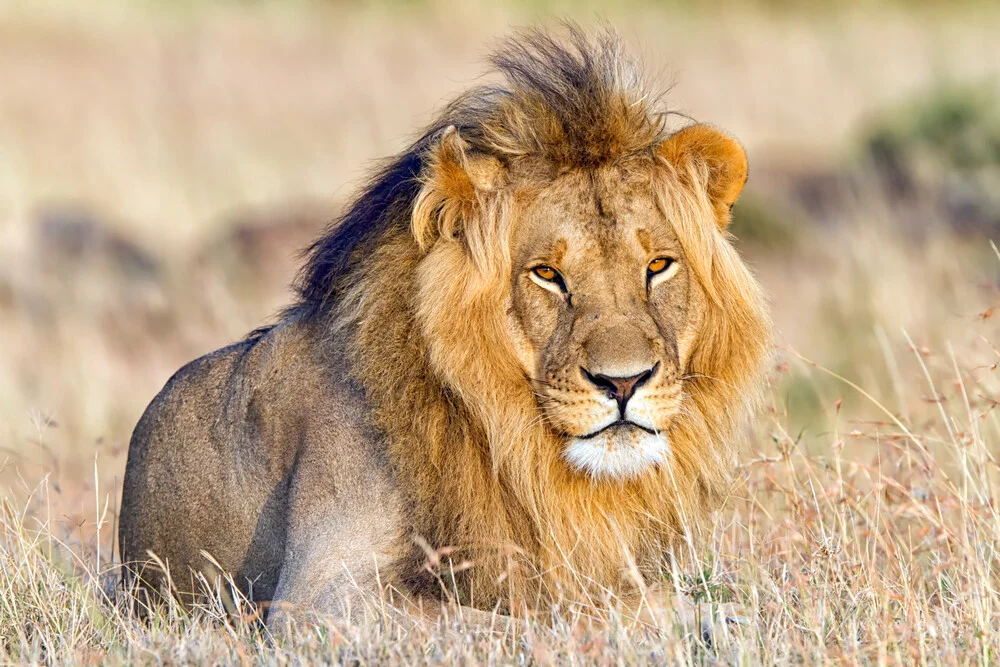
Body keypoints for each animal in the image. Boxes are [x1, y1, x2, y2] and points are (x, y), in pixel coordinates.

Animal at [119, 27, 772, 632]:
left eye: (658, 266)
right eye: (547, 274)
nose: (624, 383)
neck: (512, 442)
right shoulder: (319, 598)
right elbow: (546, 613)